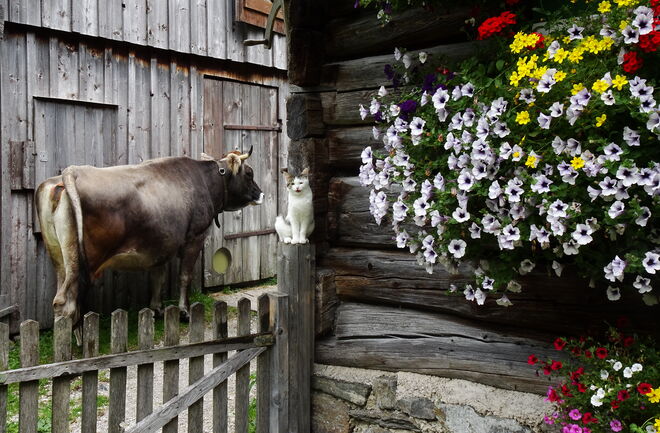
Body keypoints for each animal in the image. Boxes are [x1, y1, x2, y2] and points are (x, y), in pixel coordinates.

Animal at [35, 148, 262, 330]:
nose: (261, 194)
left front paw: (157, 309)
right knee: (67, 303)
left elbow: (157, 277)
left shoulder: (161, 244)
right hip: (78, 261)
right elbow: (184, 277)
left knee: (59, 300)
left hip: (59, 255)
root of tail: (71, 172)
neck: (205, 181)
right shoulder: (194, 239)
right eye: (249, 173)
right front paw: (184, 312)